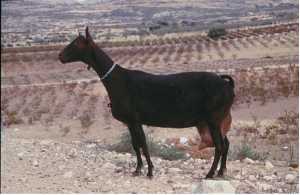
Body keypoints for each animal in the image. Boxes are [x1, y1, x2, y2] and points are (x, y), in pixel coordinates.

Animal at [58, 26, 236, 179]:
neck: (118, 80)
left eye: (76, 43)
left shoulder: (135, 120)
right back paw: (221, 172)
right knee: (226, 143)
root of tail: (226, 84)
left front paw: (150, 171)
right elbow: (135, 145)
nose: (60, 56)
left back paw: (210, 174)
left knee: (219, 146)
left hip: (213, 119)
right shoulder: (130, 122)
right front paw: (137, 169)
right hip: (218, 119)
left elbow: (143, 144)